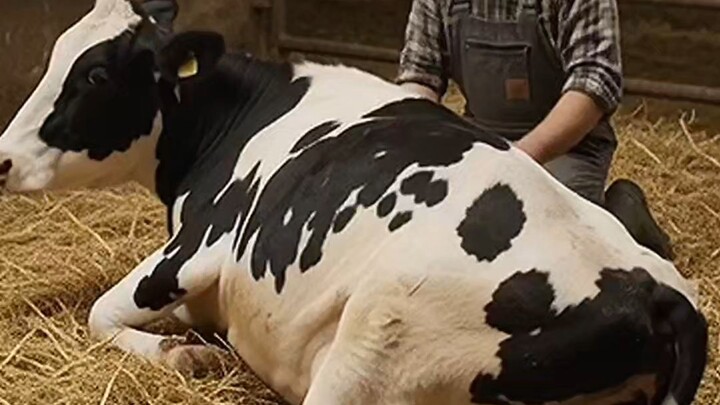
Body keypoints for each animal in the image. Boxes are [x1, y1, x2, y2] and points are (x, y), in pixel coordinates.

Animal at [0, 0, 708, 404]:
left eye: (95, 74)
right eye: (56, 55)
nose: (2, 157)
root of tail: (656, 294)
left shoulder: (196, 250)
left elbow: (99, 313)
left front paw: (188, 356)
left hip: (372, 342)